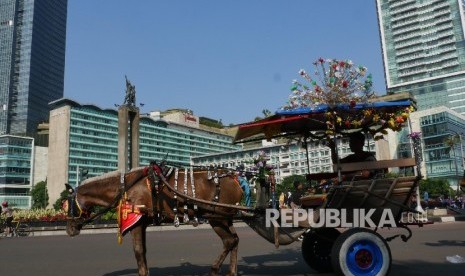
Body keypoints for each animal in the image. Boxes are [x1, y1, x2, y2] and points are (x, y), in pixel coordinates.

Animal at [64, 164, 250, 276]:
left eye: (66, 206)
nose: (69, 229)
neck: (125, 187)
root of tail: (234, 178)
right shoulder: (142, 223)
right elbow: (143, 251)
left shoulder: (136, 222)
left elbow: (138, 251)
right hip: (226, 218)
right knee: (235, 239)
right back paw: (231, 271)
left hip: (217, 218)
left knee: (229, 241)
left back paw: (214, 268)